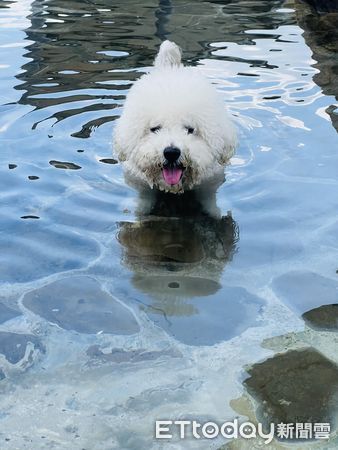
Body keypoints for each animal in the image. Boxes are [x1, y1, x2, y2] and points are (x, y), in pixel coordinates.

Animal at [113, 39, 235, 212]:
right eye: (155, 129)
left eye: (190, 129)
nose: (171, 152)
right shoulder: (138, 180)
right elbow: (143, 198)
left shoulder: (210, 180)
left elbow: (209, 198)